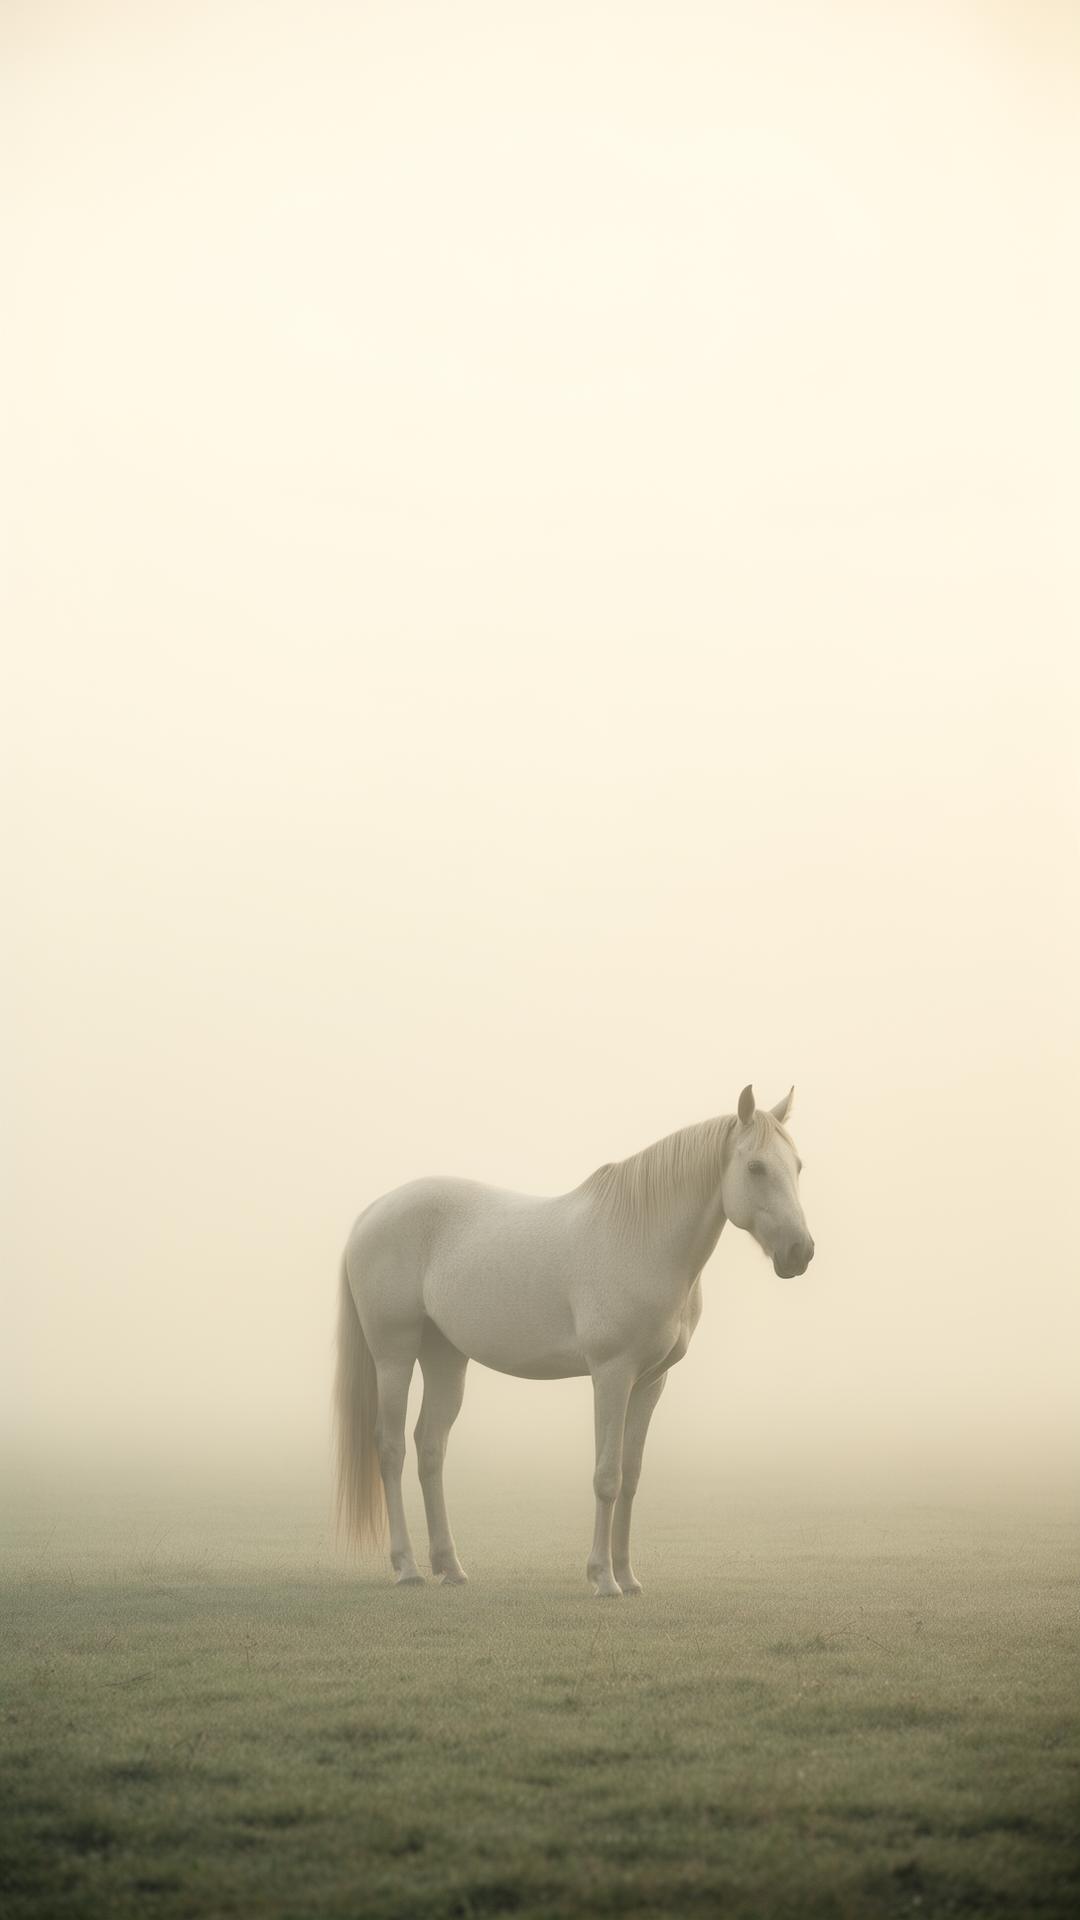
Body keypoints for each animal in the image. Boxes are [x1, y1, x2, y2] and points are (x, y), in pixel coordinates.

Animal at [334, 1083, 814, 1595]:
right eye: (756, 1167)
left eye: (797, 1165)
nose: (800, 1251)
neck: (642, 1239)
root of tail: (372, 1213)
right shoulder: (612, 1374)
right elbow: (607, 1475)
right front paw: (603, 1578)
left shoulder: (651, 1381)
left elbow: (631, 1477)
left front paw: (628, 1576)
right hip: (394, 1354)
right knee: (391, 1448)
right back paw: (406, 1568)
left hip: (445, 1356)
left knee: (430, 1448)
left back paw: (450, 1567)